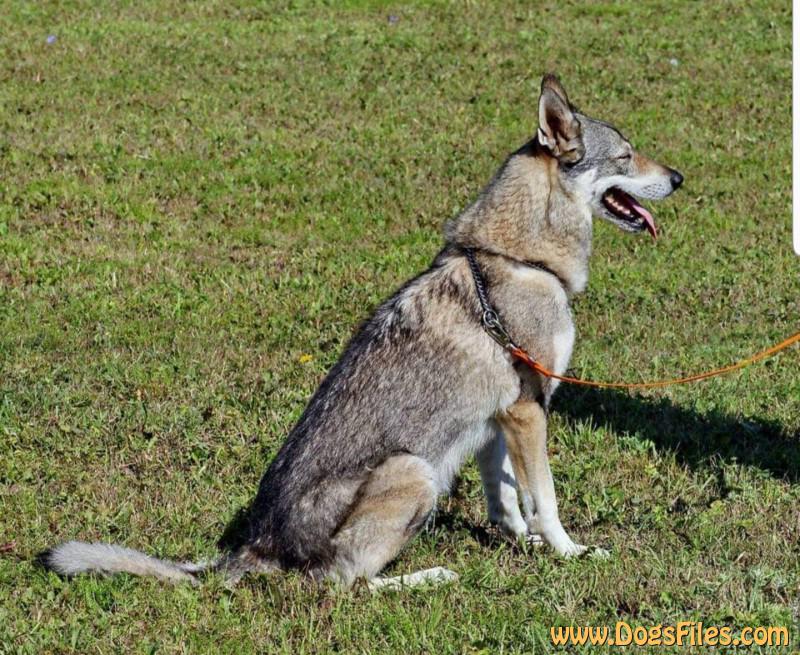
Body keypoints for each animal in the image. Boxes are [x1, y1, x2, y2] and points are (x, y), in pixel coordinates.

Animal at [43, 75, 680, 588]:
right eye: (626, 156)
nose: (677, 176)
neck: (521, 258)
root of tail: (252, 550)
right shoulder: (530, 409)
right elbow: (544, 500)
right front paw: (571, 552)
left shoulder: (499, 417)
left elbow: (506, 500)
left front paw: (521, 544)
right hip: (417, 473)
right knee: (341, 582)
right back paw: (427, 578)